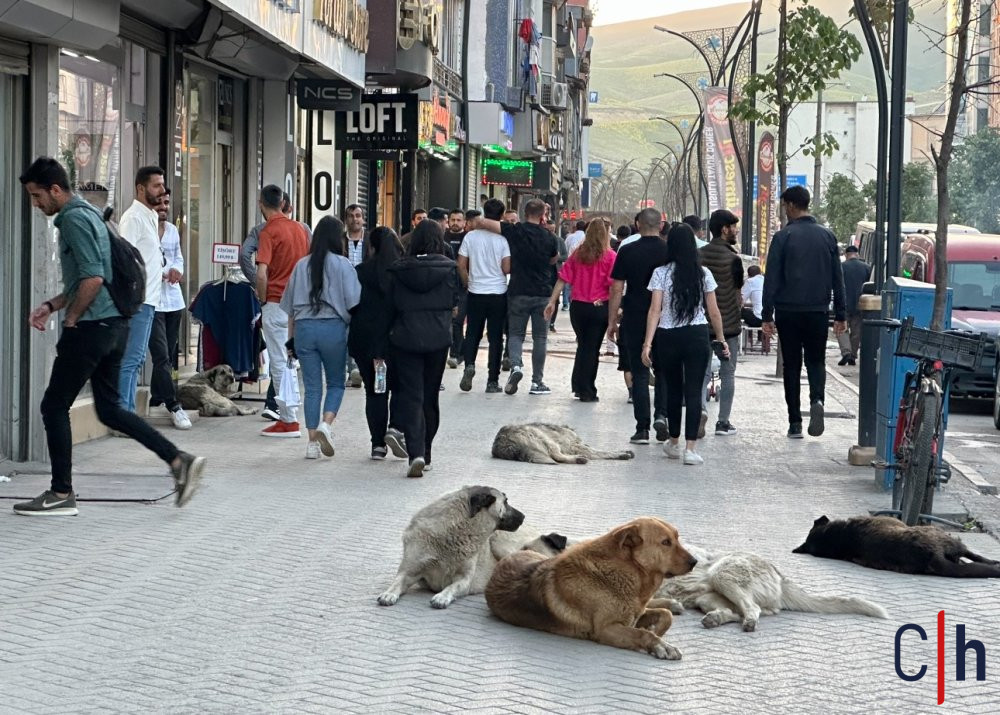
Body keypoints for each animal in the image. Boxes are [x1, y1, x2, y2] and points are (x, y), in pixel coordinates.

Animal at [378, 486, 572, 608]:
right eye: (505, 501)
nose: (524, 516)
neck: (452, 533)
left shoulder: (464, 580)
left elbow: (452, 587)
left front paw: (442, 596)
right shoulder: (410, 571)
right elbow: (397, 582)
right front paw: (389, 593)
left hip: (503, 546)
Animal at [484, 516, 696, 664]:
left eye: (676, 538)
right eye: (665, 542)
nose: (695, 562)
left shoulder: (634, 612)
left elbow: (665, 616)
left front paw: (657, 628)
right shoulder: (606, 629)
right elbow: (643, 633)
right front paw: (659, 643)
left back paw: (671, 603)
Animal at [490, 422, 632, 468]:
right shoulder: (575, 445)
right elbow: (600, 451)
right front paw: (621, 453)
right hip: (545, 439)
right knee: (557, 456)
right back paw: (579, 459)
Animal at [660, 544, 888, 628]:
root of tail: (779, 575)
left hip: (722, 575)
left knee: (752, 609)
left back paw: (747, 622)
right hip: (707, 597)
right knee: (741, 612)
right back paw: (716, 619)